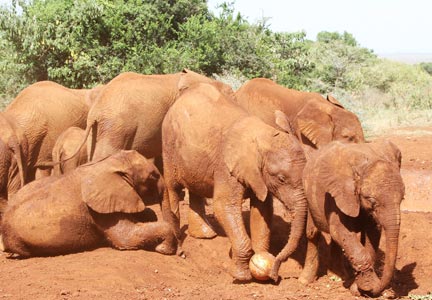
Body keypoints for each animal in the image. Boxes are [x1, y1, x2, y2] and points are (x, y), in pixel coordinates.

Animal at [1, 150, 177, 258]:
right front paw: (163, 249)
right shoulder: (98, 209)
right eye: (153, 176)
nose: (180, 253)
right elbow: (126, 238)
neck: (107, 163)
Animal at [161, 81, 308, 282]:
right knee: (173, 188)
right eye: (281, 178)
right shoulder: (227, 167)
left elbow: (262, 210)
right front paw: (242, 277)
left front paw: (261, 259)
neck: (264, 134)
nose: (275, 275)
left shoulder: (257, 175)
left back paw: (205, 236)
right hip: (168, 144)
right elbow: (224, 206)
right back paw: (177, 246)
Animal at [296, 141, 404, 298]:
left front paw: (358, 288)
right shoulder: (336, 194)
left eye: (403, 198)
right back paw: (305, 281)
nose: (387, 293)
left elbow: (373, 233)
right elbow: (340, 230)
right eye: (371, 200)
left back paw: (341, 276)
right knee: (312, 233)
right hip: (309, 197)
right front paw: (367, 286)